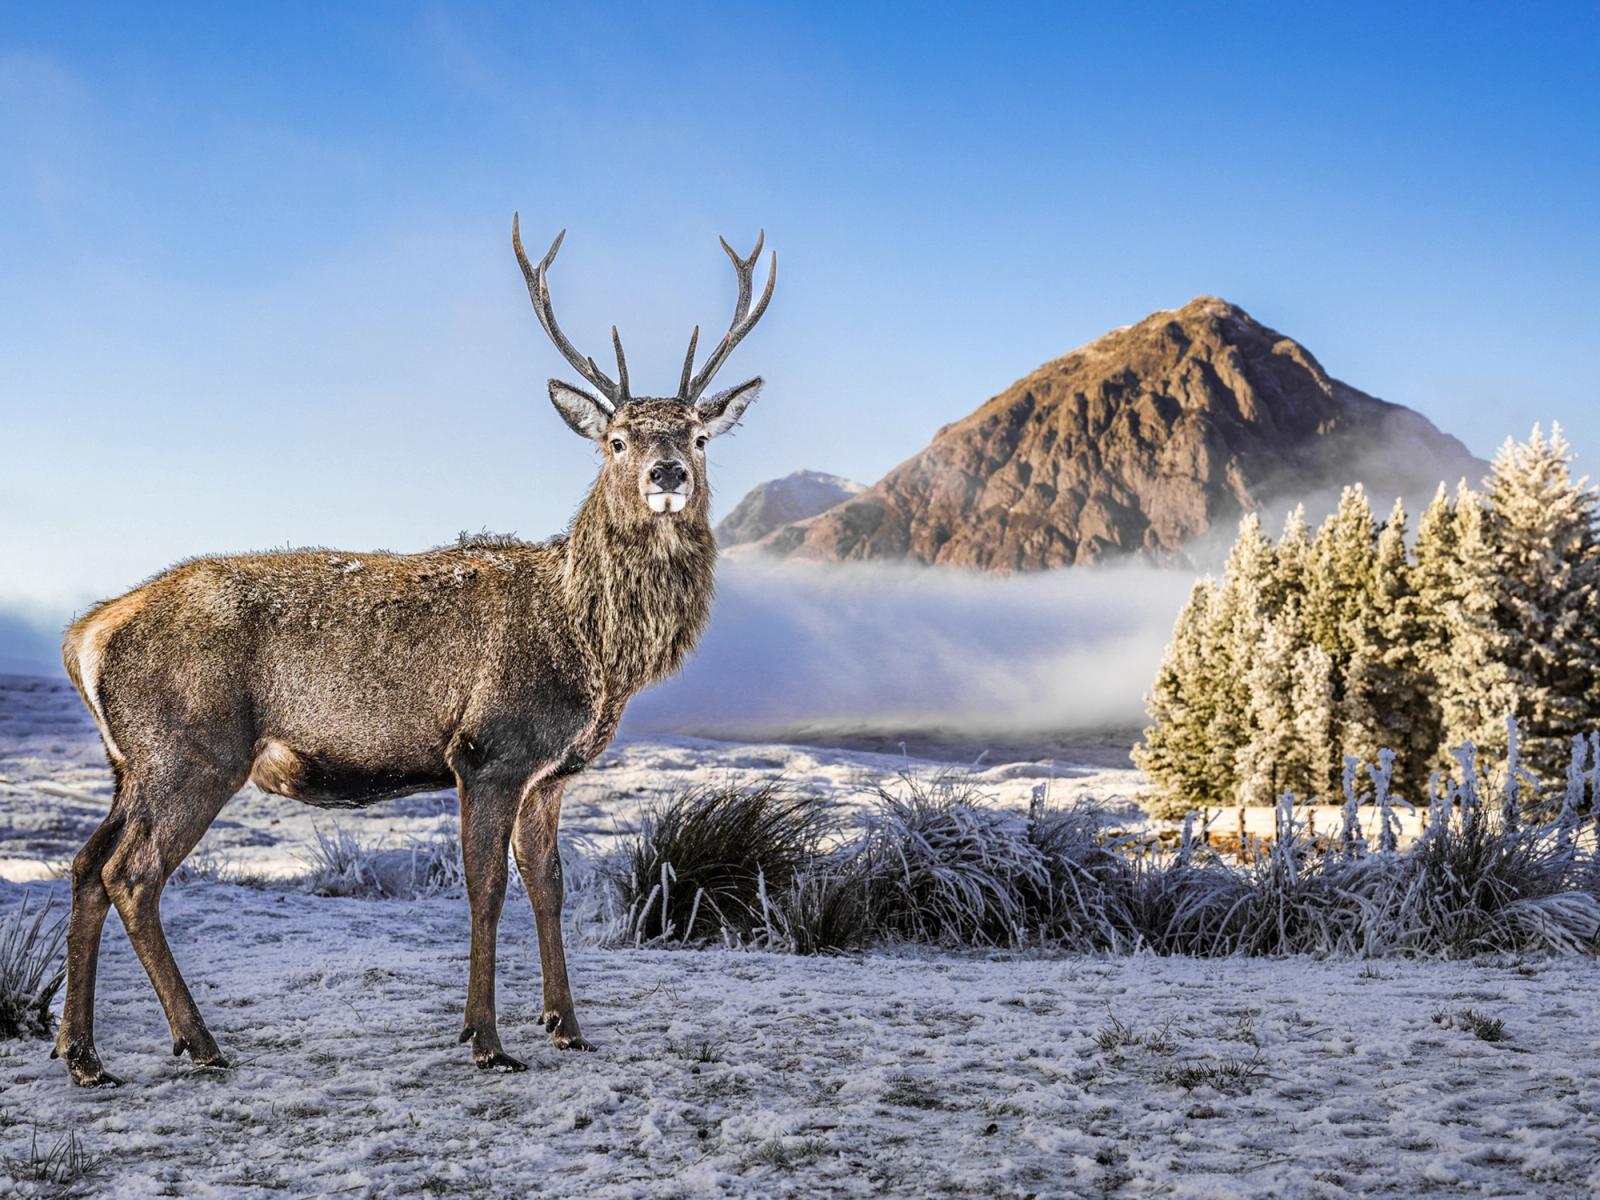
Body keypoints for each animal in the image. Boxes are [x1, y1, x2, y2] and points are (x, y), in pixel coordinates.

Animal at [52, 216, 775, 1086]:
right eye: (615, 439)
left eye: (699, 435)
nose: (667, 473)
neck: (591, 644)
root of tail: (85, 635)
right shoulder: (488, 749)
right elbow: (485, 892)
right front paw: (485, 1039)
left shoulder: (550, 773)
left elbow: (549, 888)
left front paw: (566, 1026)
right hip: (192, 748)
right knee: (132, 875)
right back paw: (198, 1041)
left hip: (131, 764)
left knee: (85, 866)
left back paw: (82, 1052)